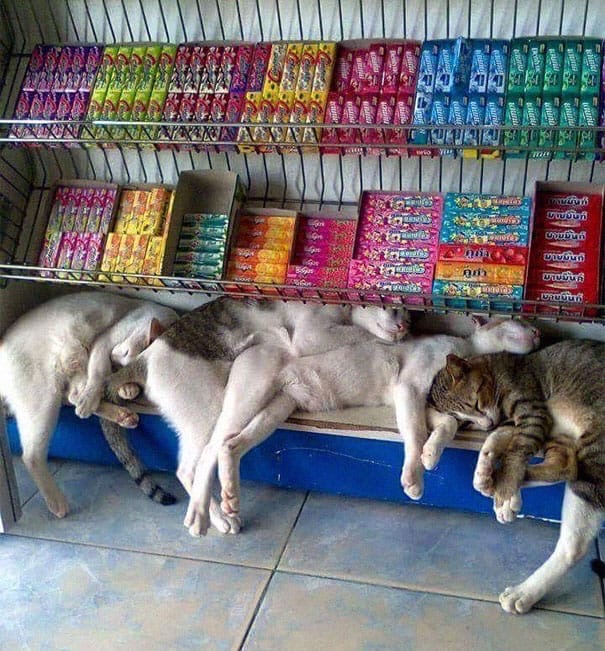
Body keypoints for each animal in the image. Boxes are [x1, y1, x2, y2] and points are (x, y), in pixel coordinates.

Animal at [0, 291, 179, 517]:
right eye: (123, 356)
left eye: (123, 365)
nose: (115, 360)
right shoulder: (104, 342)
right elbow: (98, 376)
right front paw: (105, 393)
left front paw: (127, 390)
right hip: (44, 397)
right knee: (31, 455)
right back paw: (58, 504)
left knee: (73, 398)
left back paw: (123, 415)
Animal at [106, 296, 411, 536]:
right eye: (393, 308)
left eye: (410, 314)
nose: (405, 327)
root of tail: (145, 357)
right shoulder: (312, 335)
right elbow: (360, 333)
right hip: (208, 411)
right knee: (192, 466)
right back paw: (217, 518)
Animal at [192, 317, 539, 533]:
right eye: (518, 321)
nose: (538, 332)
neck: (465, 349)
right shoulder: (408, 389)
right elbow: (415, 432)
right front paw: (414, 478)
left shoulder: (422, 403)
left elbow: (444, 426)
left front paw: (431, 455)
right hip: (250, 397)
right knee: (206, 452)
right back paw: (204, 516)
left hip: (276, 409)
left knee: (230, 446)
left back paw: (231, 497)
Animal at [427, 339, 605, 614]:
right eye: (465, 423)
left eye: (475, 403)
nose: (485, 423)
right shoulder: (529, 423)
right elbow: (501, 438)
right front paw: (486, 468)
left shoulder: (533, 412)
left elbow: (516, 449)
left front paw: (505, 487)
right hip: (564, 439)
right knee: (566, 465)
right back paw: (493, 481)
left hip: (596, 450)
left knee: (574, 545)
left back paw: (525, 591)